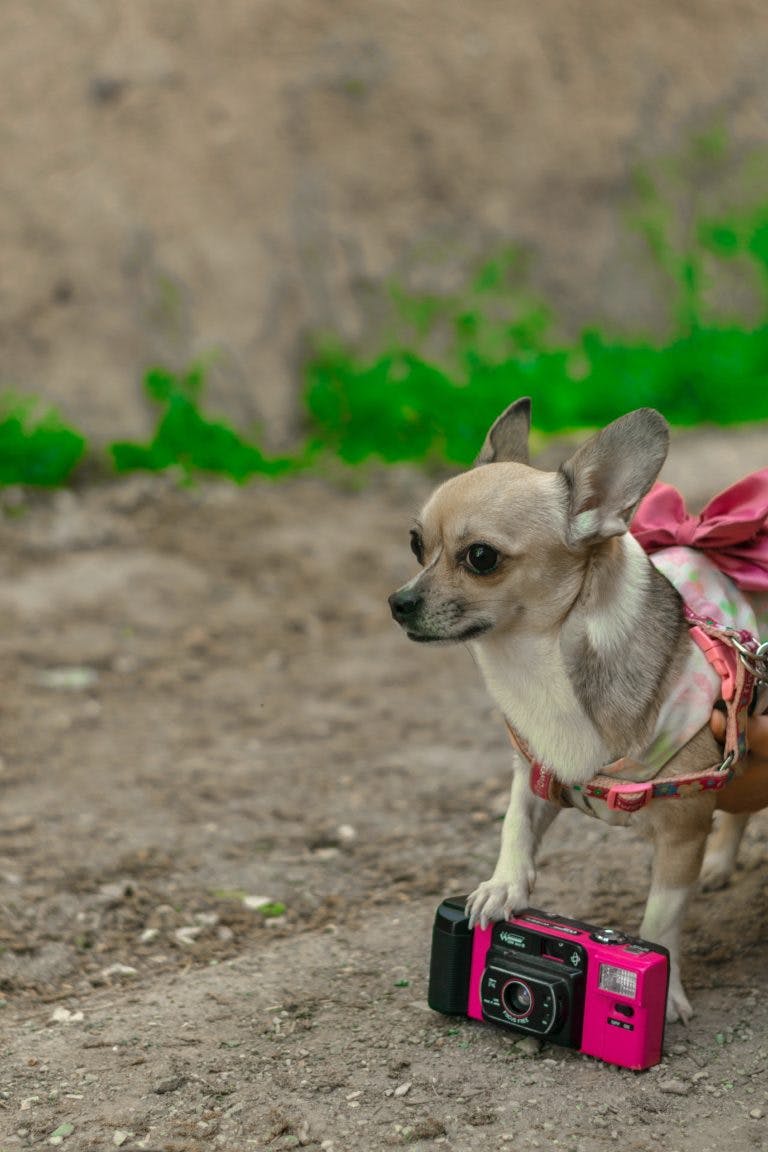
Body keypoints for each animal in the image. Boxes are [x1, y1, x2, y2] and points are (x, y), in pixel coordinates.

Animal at [393, 400, 764, 1022]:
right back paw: (719, 865)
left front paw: (662, 994)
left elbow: (662, 917)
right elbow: (515, 826)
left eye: (481, 558)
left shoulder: (681, 833)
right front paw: (503, 887)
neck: (537, 664)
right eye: (417, 545)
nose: (398, 603)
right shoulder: (536, 773)